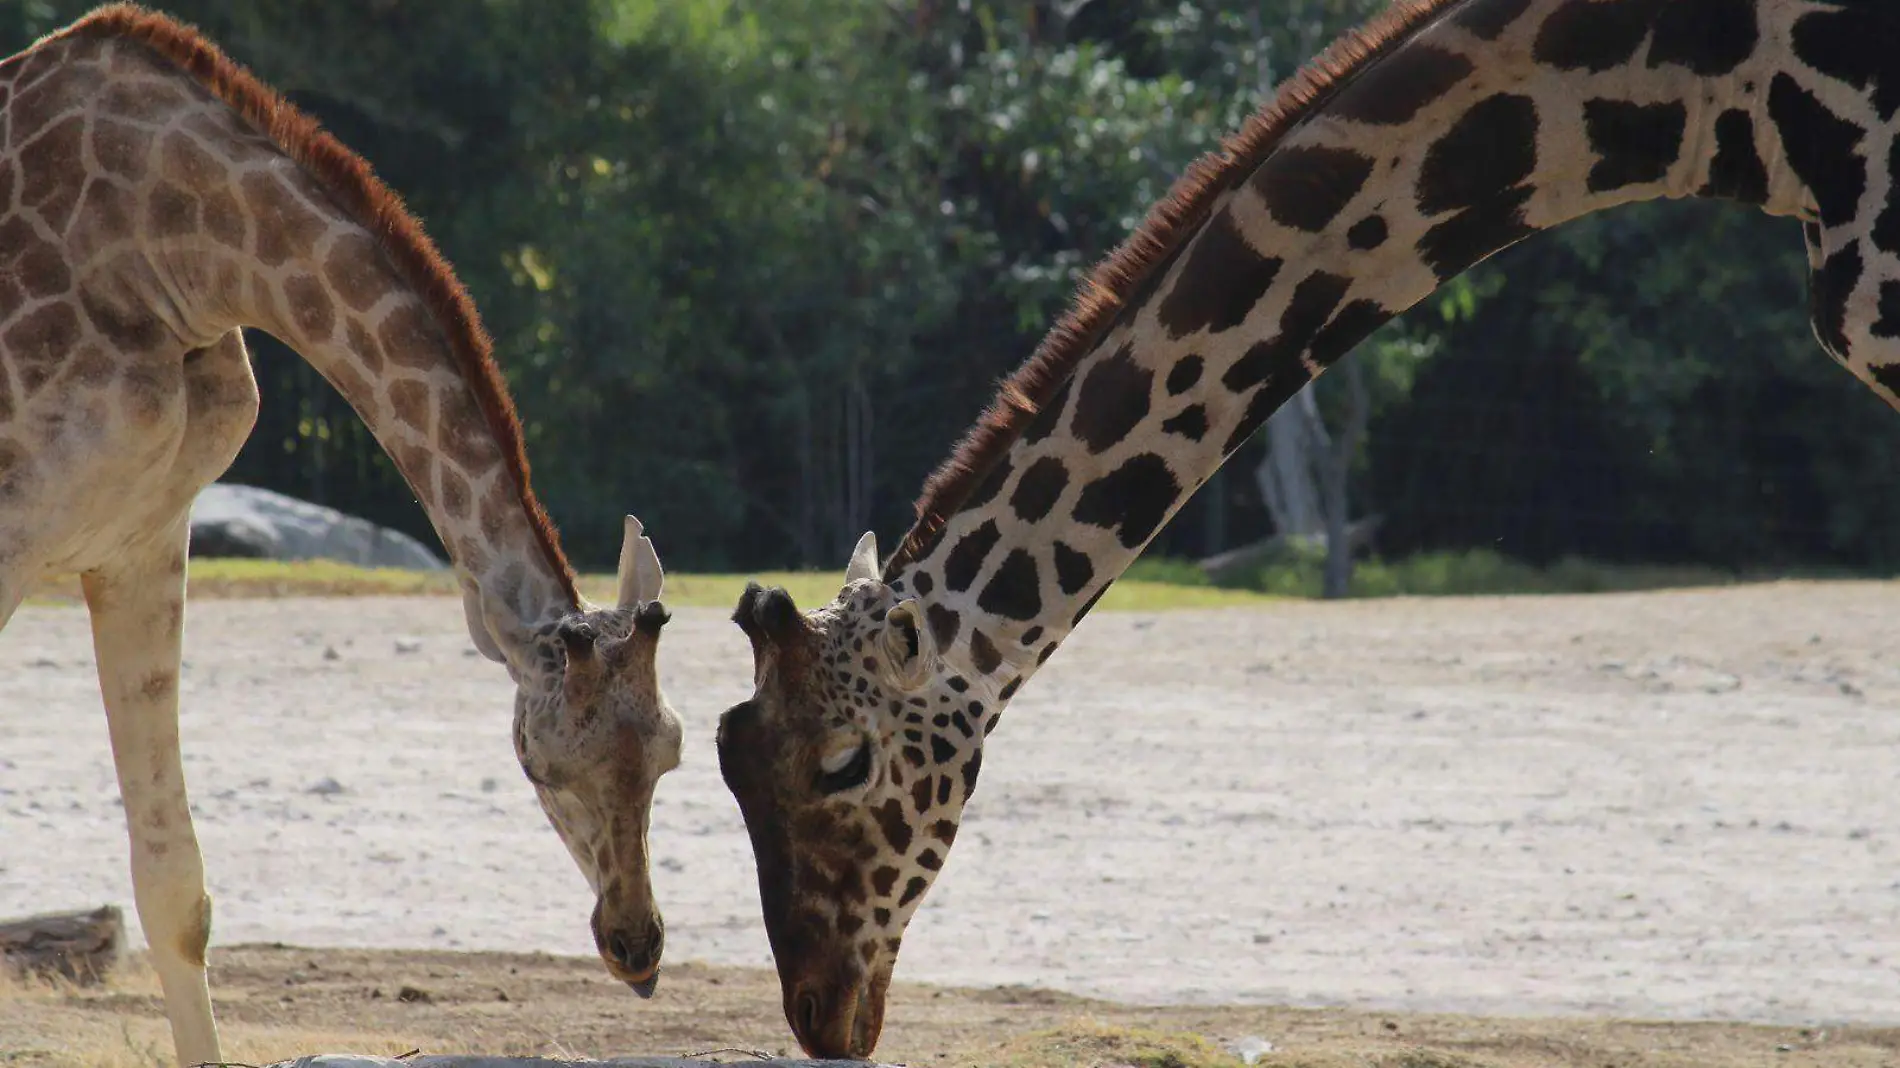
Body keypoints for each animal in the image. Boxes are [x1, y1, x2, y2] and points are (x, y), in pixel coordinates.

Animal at [0, 10, 684, 1064]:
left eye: (673, 750)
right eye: (537, 764)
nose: (637, 948)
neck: (178, 250)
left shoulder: (142, 533)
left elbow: (174, 887)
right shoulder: (13, 524)